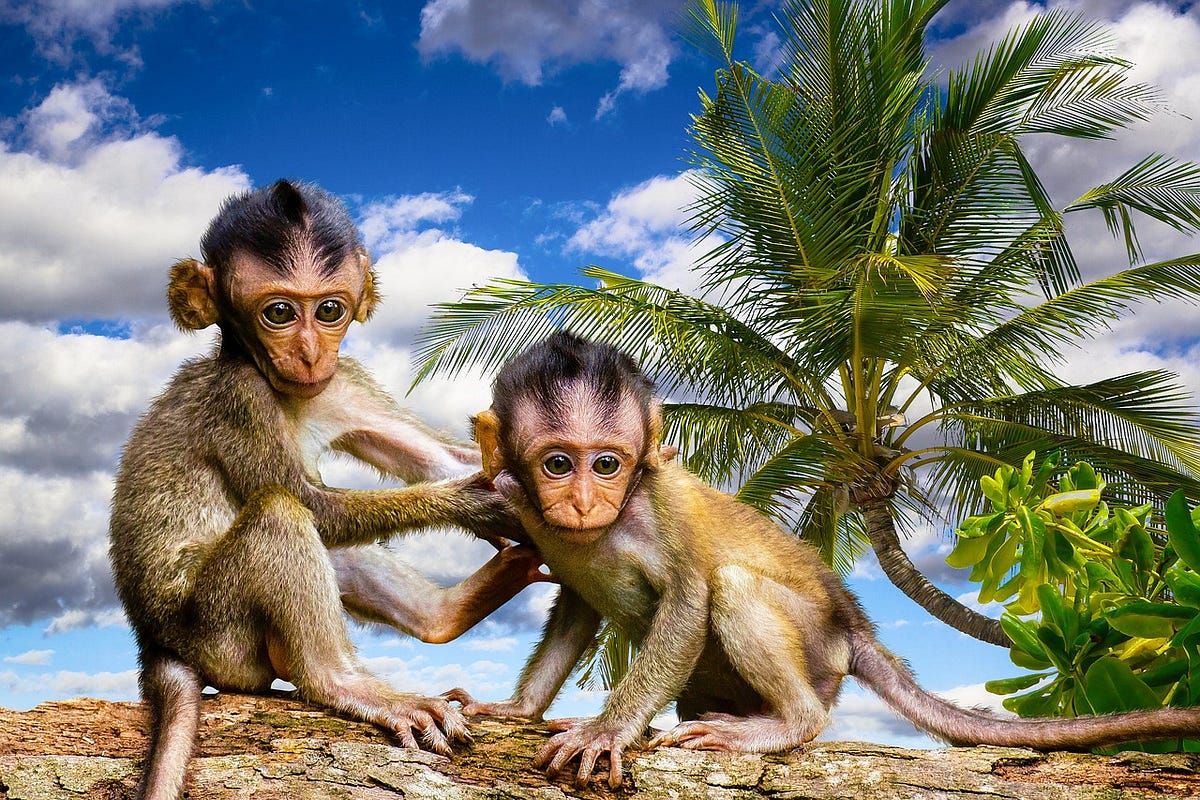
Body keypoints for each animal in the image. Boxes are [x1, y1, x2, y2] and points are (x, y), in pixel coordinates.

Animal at [109, 180, 547, 800]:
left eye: (330, 309)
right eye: (278, 312)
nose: (311, 352)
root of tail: (156, 644)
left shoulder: (344, 381)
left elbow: (437, 459)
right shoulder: (239, 397)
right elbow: (315, 505)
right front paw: (478, 502)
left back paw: (444, 615)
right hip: (217, 635)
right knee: (281, 514)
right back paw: (340, 681)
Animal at [443, 331, 1200, 788]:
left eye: (607, 464)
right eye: (558, 463)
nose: (582, 501)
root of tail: (854, 628)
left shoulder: (657, 504)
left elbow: (689, 597)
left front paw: (607, 729)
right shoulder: (520, 503)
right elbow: (574, 608)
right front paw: (517, 707)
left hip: (818, 646)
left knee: (734, 585)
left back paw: (790, 723)